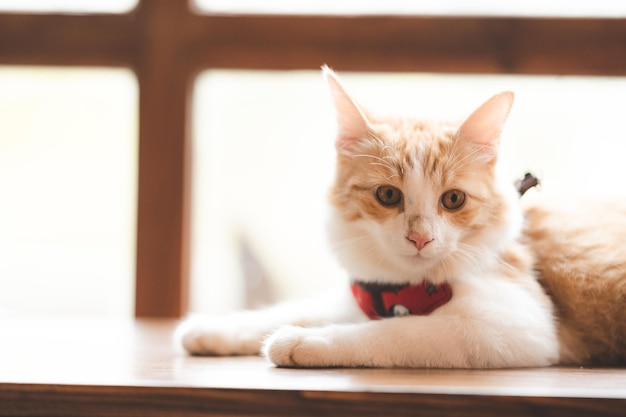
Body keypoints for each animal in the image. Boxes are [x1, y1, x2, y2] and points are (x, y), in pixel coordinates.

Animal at [177, 66, 624, 368]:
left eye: (454, 199)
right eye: (388, 195)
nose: (420, 239)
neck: (404, 286)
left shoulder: (514, 325)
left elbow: (391, 331)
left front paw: (303, 342)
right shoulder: (357, 295)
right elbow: (294, 308)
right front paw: (214, 329)